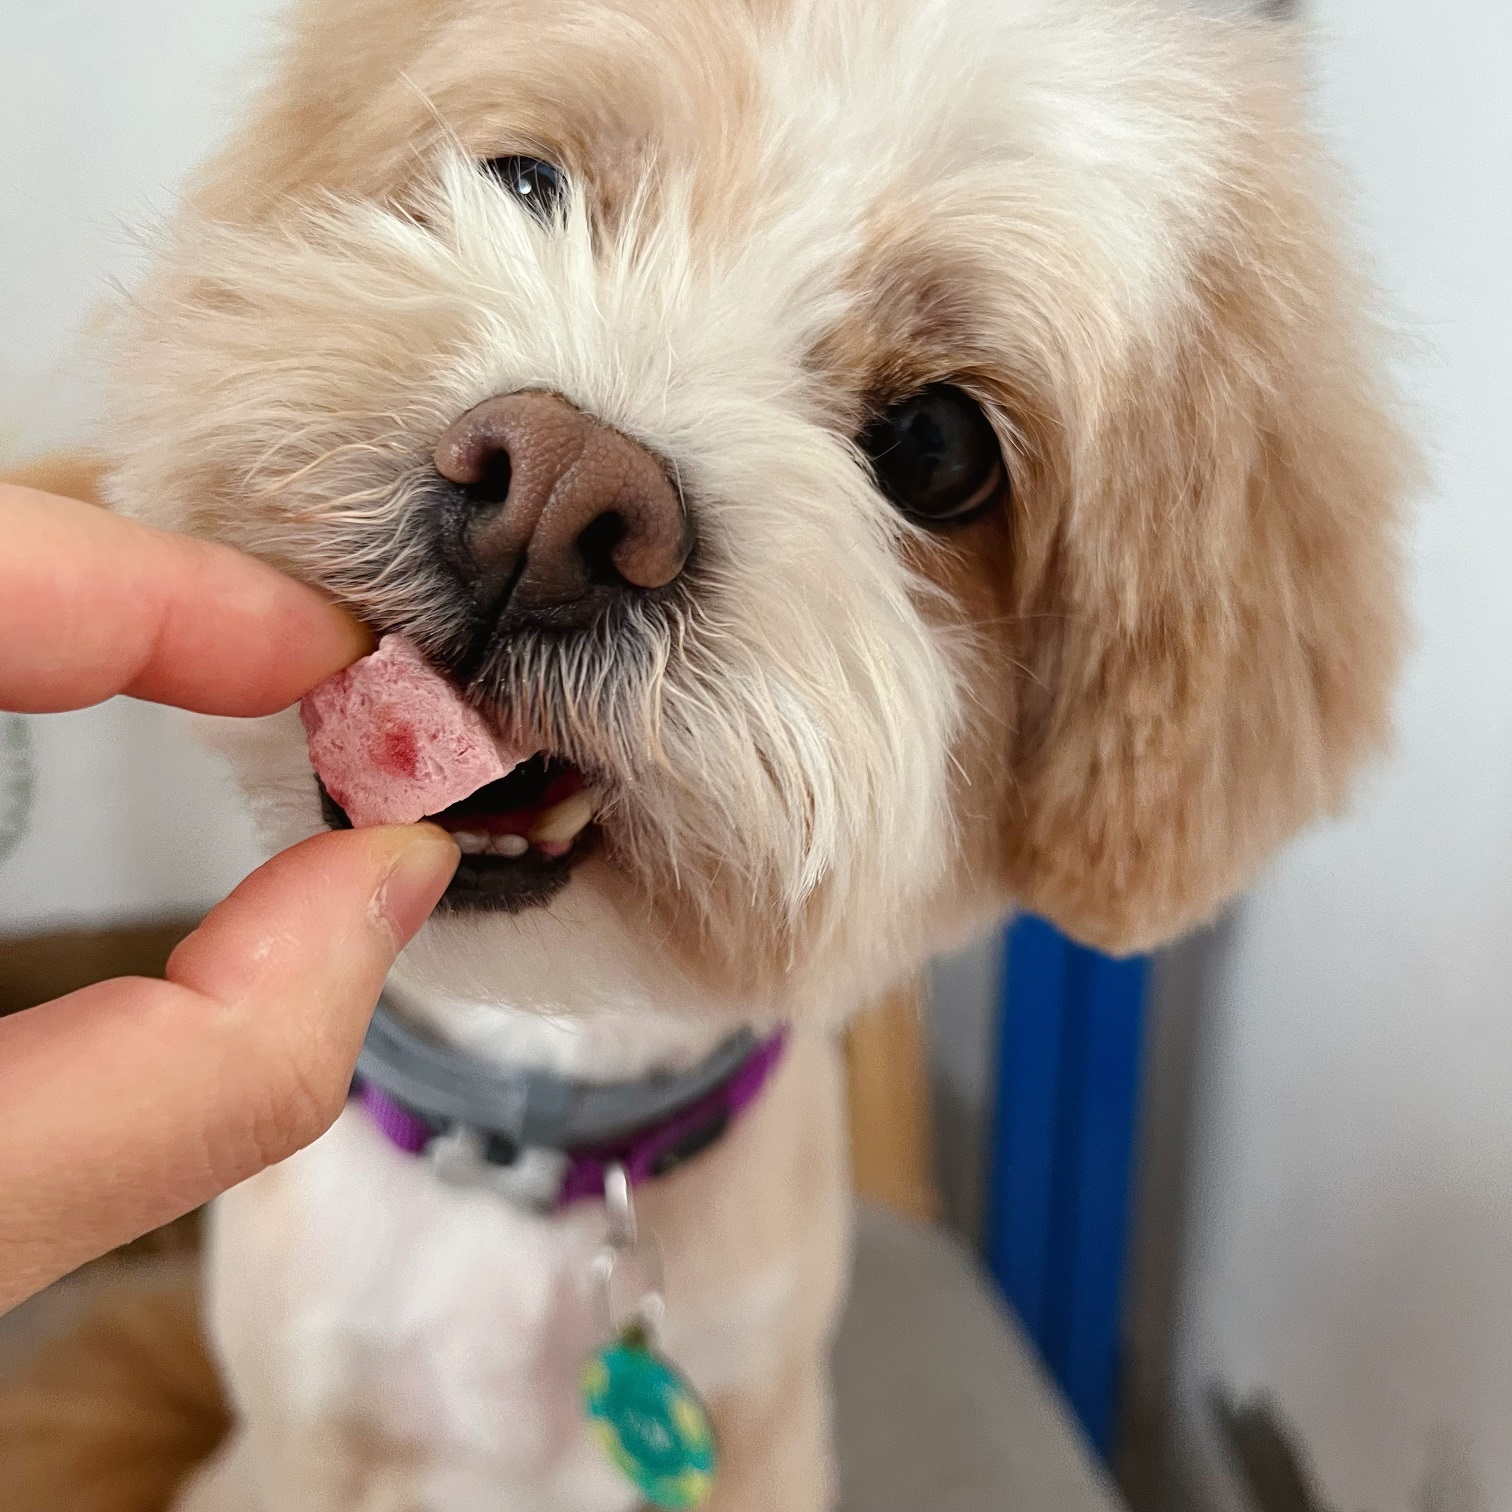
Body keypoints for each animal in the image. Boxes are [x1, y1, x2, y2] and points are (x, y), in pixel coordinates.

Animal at [82, 0, 1409, 1505]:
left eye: (940, 447)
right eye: (524, 184)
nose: (558, 492)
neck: (539, 1135)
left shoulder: (765, 1430)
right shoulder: (305, 1426)